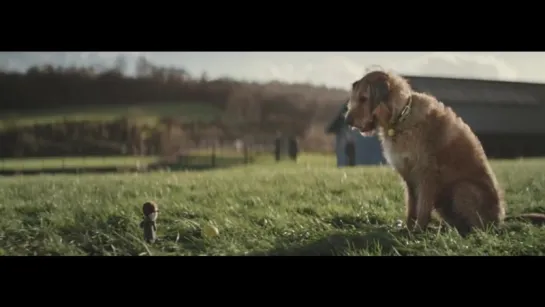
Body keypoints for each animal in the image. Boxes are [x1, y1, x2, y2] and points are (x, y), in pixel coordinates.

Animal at [344, 70, 544, 236]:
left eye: (363, 98)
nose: (347, 120)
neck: (401, 118)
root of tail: (500, 219)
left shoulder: (426, 174)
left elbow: (423, 207)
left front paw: (417, 231)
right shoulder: (408, 176)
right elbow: (412, 207)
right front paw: (408, 228)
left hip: (462, 189)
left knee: (480, 227)